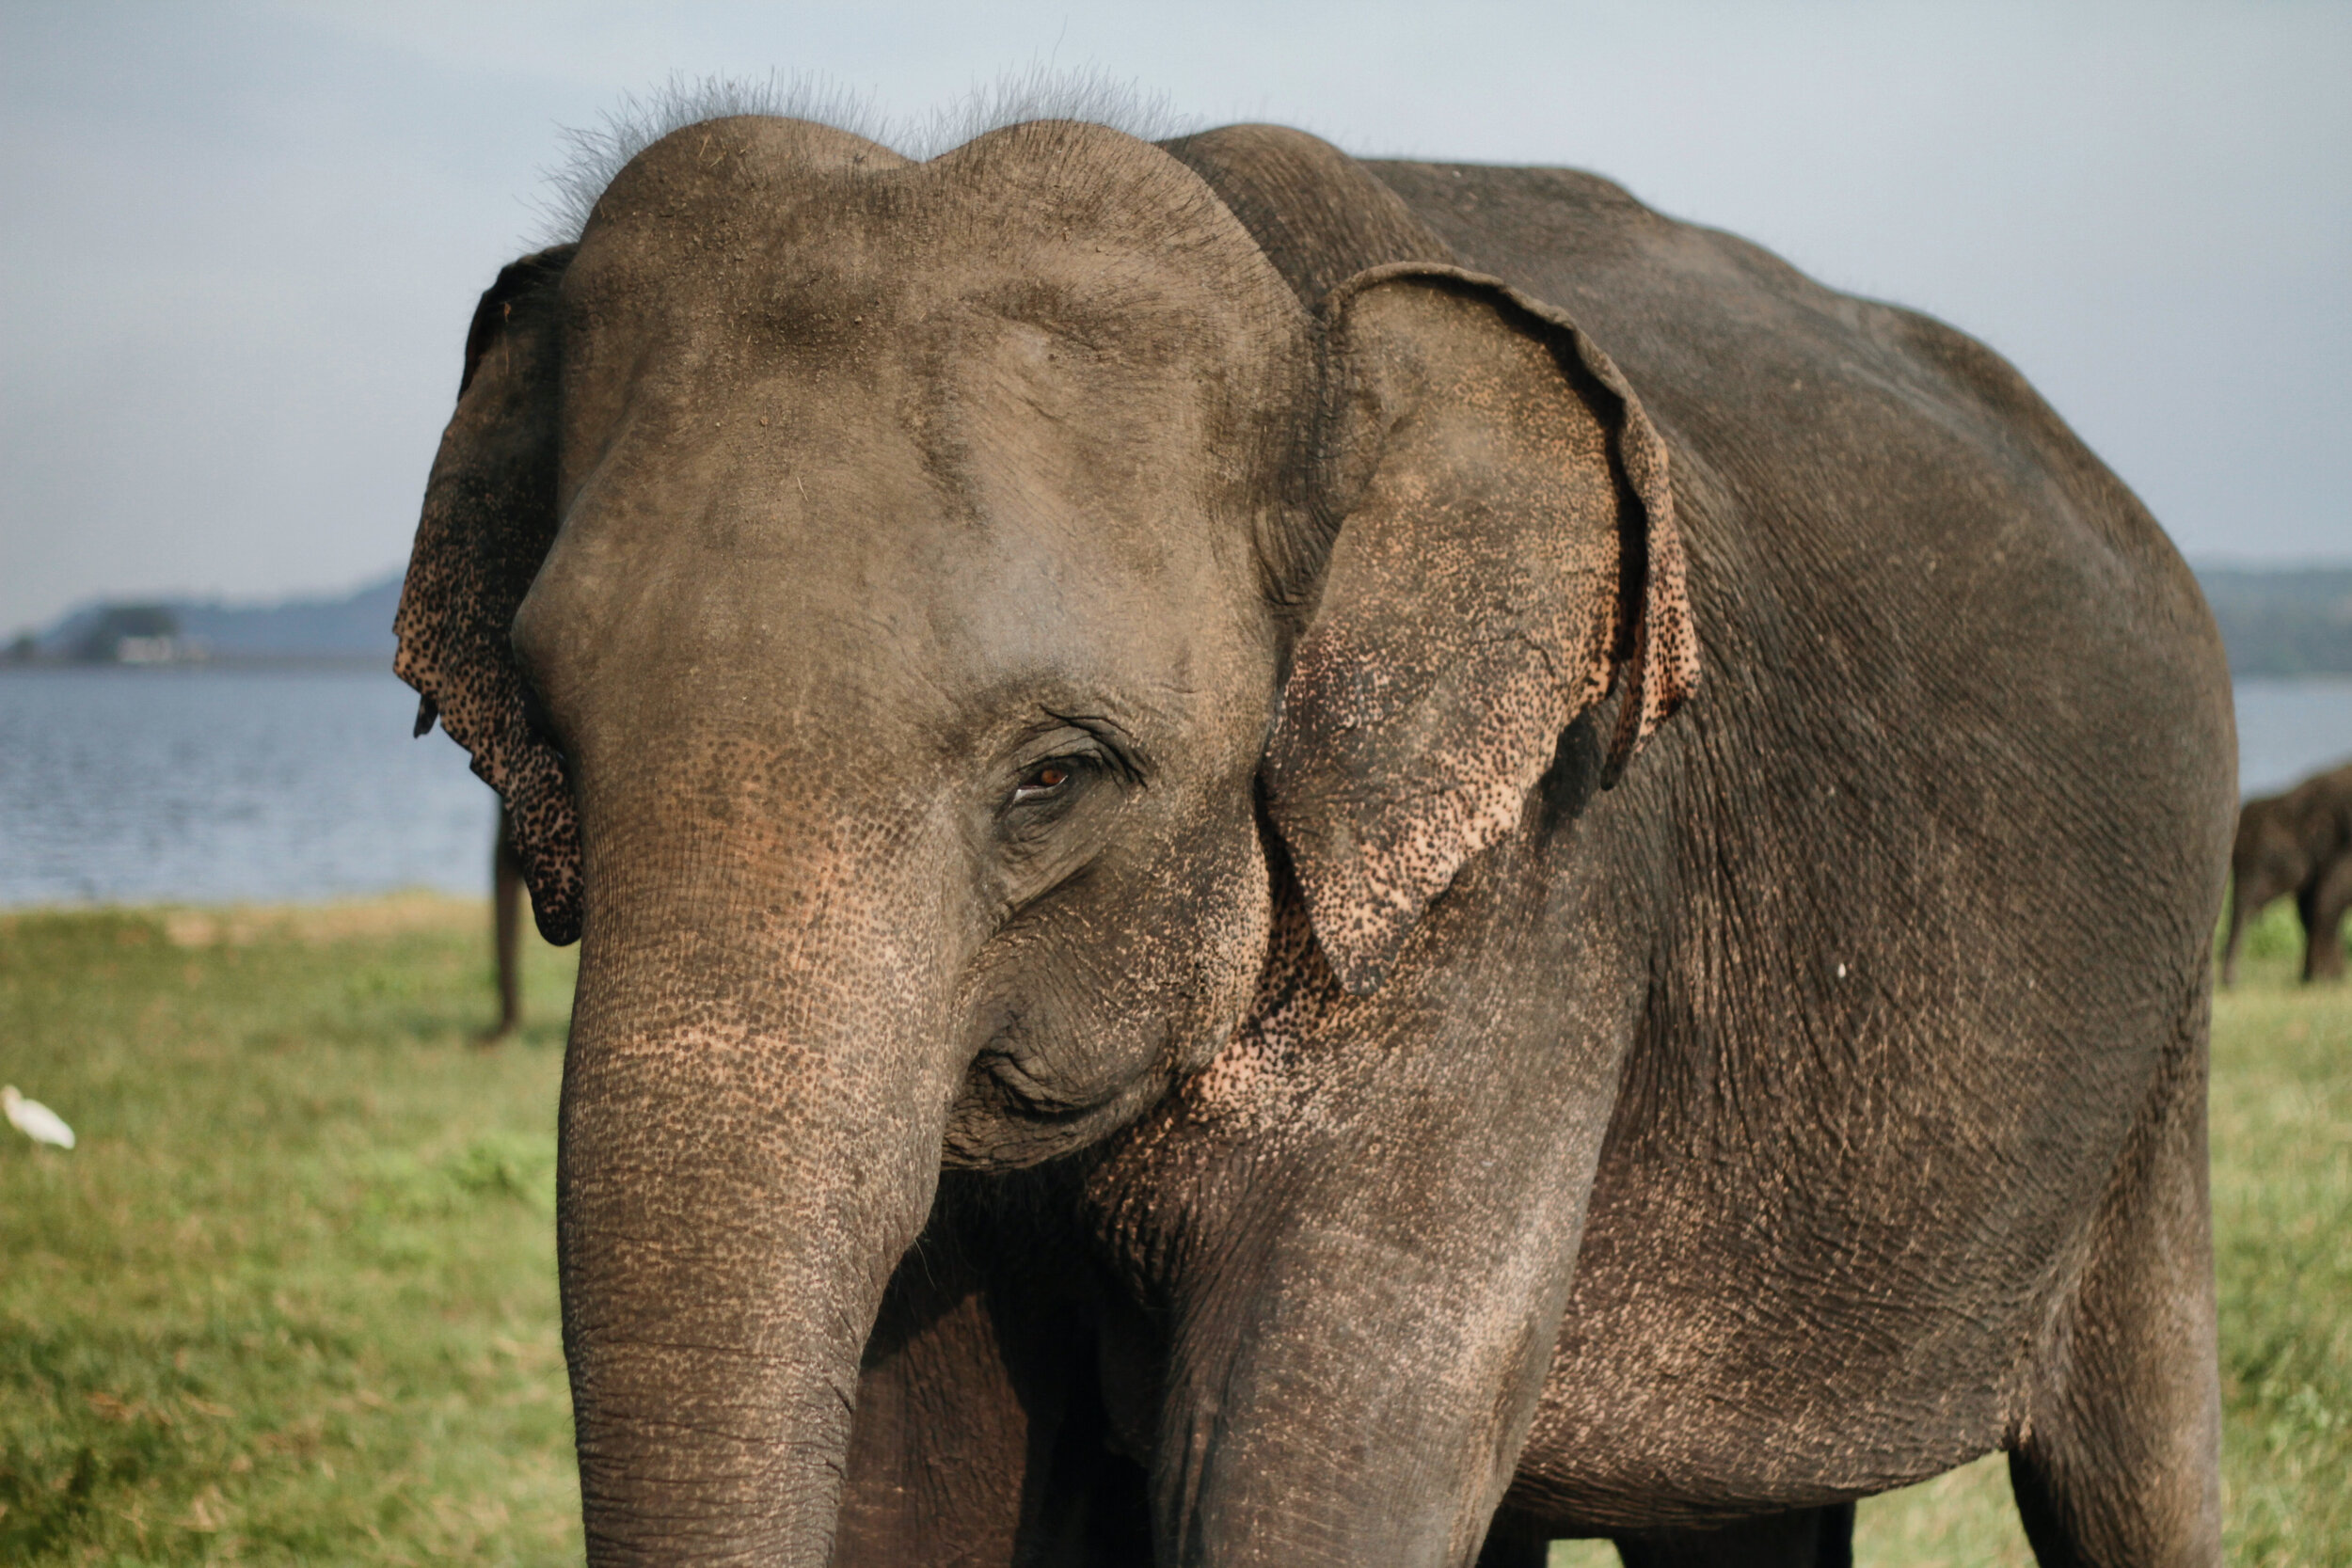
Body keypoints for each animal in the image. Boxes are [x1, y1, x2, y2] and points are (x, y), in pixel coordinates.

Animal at [394, 109, 2235, 1567]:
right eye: (547, 741)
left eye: (1053, 780)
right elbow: (930, 1481)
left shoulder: (1530, 884)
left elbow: (1325, 1470)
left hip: (2155, 1078)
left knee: (2140, 1462)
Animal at [2220, 760, 2352, 984]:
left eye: (2270, 865)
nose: (2230, 982)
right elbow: (2306, 909)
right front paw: (2318, 978)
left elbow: (2327, 898)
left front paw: (2323, 979)